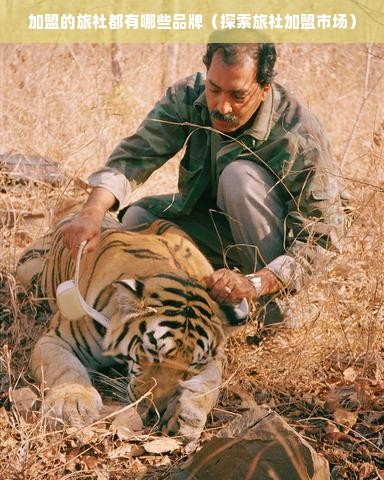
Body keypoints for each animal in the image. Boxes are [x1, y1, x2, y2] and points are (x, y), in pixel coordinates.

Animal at [16, 216, 248, 440]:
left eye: (193, 364)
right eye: (153, 351)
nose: (156, 410)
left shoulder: (215, 357)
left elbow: (210, 383)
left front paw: (187, 413)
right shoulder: (56, 339)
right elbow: (65, 368)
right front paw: (71, 406)